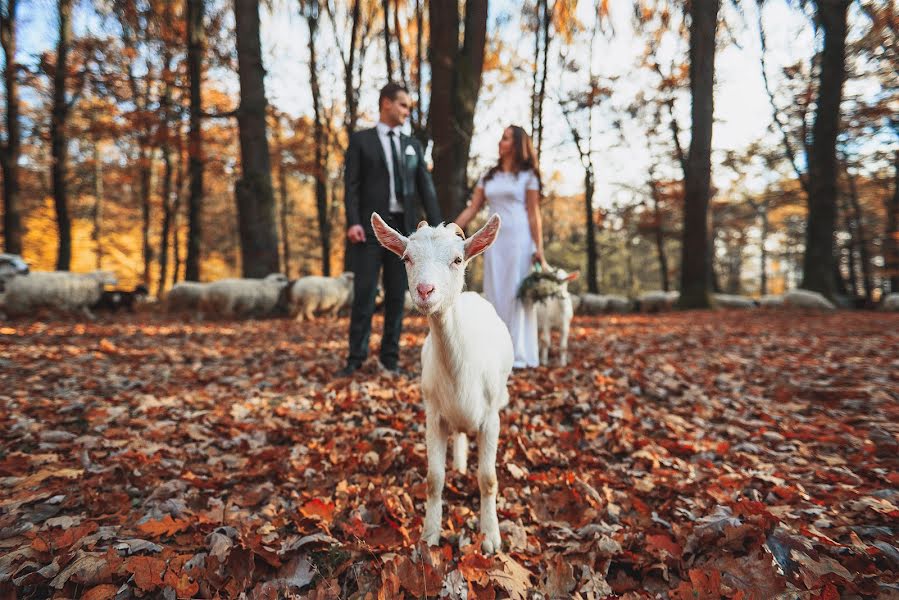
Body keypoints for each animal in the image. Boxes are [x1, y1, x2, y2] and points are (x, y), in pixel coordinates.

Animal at [370, 211, 512, 552]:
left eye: (458, 259)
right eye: (407, 258)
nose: (425, 290)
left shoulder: (491, 418)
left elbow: (488, 479)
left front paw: (490, 538)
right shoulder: (433, 415)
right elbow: (434, 478)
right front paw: (429, 535)